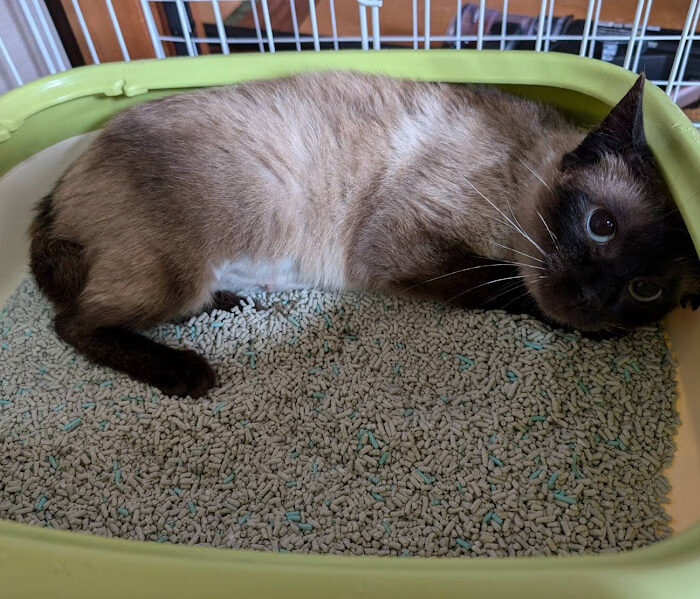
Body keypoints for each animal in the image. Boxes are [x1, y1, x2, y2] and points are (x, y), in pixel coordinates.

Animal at [29, 71, 700, 398]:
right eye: (601, 226)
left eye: (644, 290)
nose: (593, 302)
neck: (519, 173)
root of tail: (61, 183)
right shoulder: (406, 246)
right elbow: (502, 284)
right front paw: (570, 327)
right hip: (183, 264)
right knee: (75, 324)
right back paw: (185, 372)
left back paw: (232, 303)